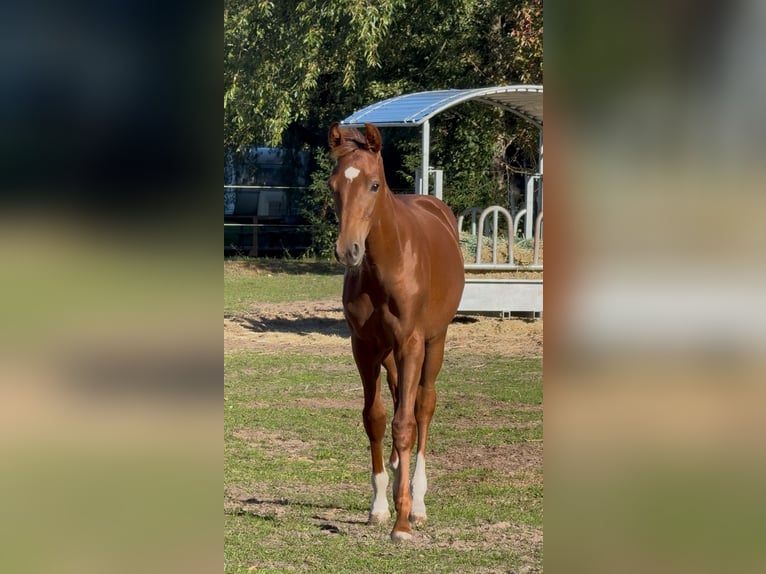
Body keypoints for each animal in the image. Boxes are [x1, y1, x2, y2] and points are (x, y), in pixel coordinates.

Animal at [327, 122, 465, 541]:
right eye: (333, 185)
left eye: (374, 185)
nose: (348, 250)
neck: (386, 263)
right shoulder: (364, 346)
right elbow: (374, 418)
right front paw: (379, 506)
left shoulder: (411, 343)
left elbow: (405, 422)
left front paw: (402, 522)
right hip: (389, 355)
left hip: (434, 343)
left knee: (423, 407)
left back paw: (417, 502)